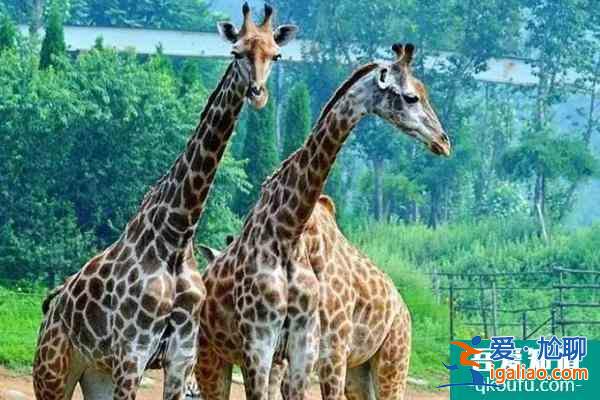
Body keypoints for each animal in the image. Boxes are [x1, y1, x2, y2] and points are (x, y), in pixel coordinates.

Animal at [32, 3, 298, 400]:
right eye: (237, 52)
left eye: (275, 55)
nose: (258, 93)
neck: (176, 236)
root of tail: (50, 307)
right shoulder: (132, 353)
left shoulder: (180, 357)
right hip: (52, 371)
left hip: (95, 373)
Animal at [193, 42, 450, 400]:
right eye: (412, 97)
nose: (444, 141)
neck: (289, 232)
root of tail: (404, 309)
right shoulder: (263, 343)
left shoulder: (308, 347)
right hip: (210, 355)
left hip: (389, 359)